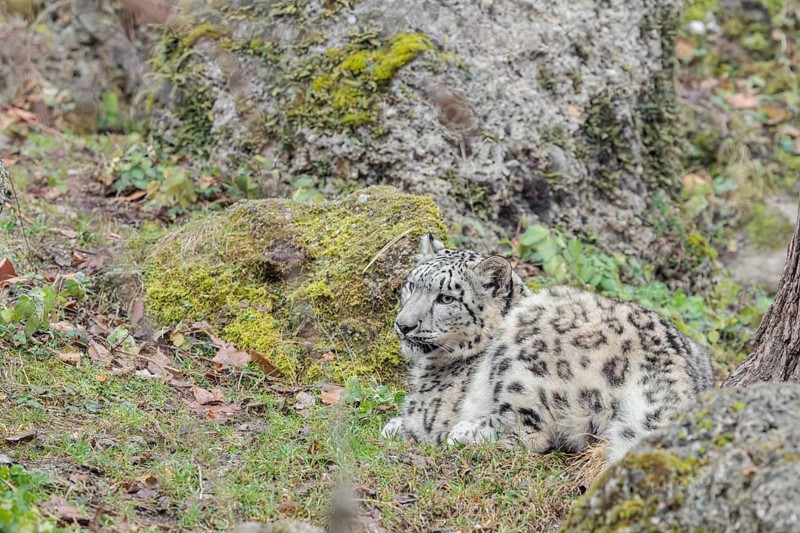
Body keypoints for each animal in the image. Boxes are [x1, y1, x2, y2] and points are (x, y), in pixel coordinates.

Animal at [382, 235, 714, 462]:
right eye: (412, 285)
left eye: (446, 299)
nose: (403, 325)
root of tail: (672, 369)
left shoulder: (431, 410)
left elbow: (415, 419)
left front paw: (396, 425)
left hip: (523, 363)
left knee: (531, 432)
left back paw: (465, 432)